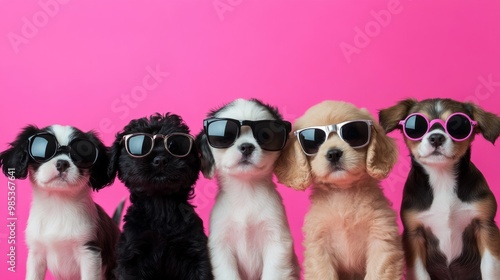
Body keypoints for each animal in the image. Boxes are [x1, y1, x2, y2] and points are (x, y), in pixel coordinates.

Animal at [108, 113, 212, 280]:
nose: (160, 160)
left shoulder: (196, 253)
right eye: (140, 146)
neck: (161, 208)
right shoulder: (131, 258)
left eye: (175, 145)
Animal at [195, 99, 298, 280]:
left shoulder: (277, 242)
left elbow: (273, 273)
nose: (246, 147)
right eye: (225, 136)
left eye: (265, 135)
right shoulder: (221, 246)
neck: (246, 191)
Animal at [276, 101, 404, 280]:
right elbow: (323, 273)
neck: (343, 192)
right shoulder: (319, 246)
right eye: (313, 141)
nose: (334, 153)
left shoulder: (381, 239)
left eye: (353, 133)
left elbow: (378, 272)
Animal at [378, 98, 500, 280]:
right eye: (416, 126)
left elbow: (490, 268)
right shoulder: (414, 234)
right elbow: (420, 273)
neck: (442, 178)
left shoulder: (485, 226)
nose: (436, 137)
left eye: (457, 125)